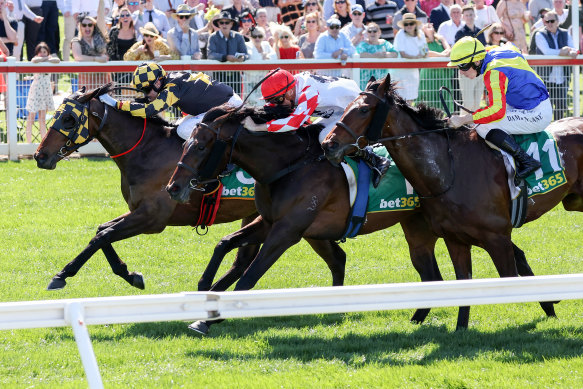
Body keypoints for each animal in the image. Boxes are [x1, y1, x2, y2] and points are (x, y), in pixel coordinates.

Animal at [167, 104, 548, 334]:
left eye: (200, 146)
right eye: (184, 144)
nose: (173, 188)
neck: (289, 165)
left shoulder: (289, 229)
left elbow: (251, 274)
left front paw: (208, 320)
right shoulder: (271, 221)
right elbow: (224, 244)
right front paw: (204, 290)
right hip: (420, 229)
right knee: (435, 273)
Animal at [324, 74, 580, 326]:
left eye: (364, 109)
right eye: (347, 105)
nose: (329, 144)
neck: (449, 169)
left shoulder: (498, 238)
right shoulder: (455, 238)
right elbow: (462, 285)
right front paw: (460, 328)